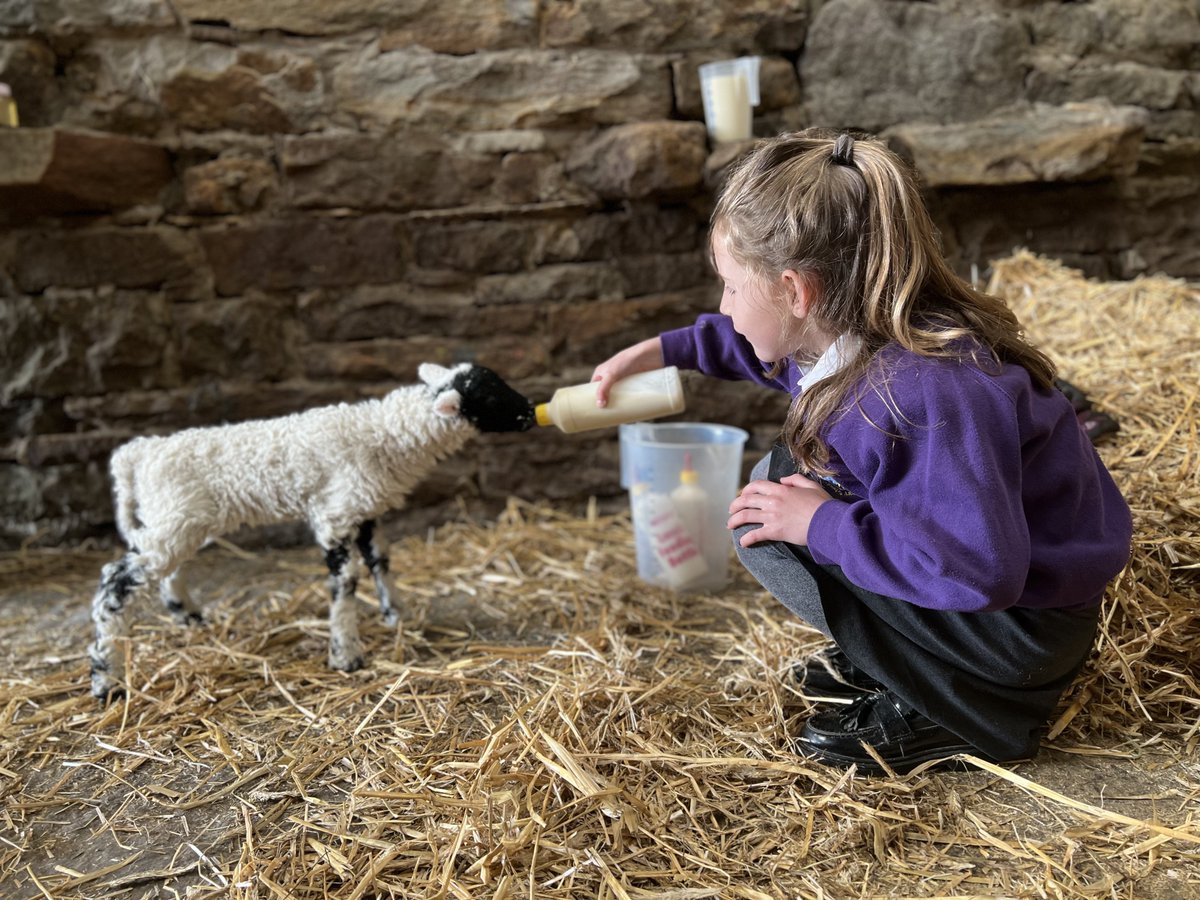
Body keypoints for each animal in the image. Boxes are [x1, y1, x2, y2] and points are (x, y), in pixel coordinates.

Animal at [87, 362, 532, 700]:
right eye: (490, 398)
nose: (529, 411)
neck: (385, 435)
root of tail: (137, 454)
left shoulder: (364, 509)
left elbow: (380, 561)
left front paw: (396, 615)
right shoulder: (334, 514)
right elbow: (346, 581)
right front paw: (346, 654)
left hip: (176, 519)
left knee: (167, 570)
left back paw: (189, 618)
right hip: (174, 519)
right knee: (115, 581)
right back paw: (107, 679)